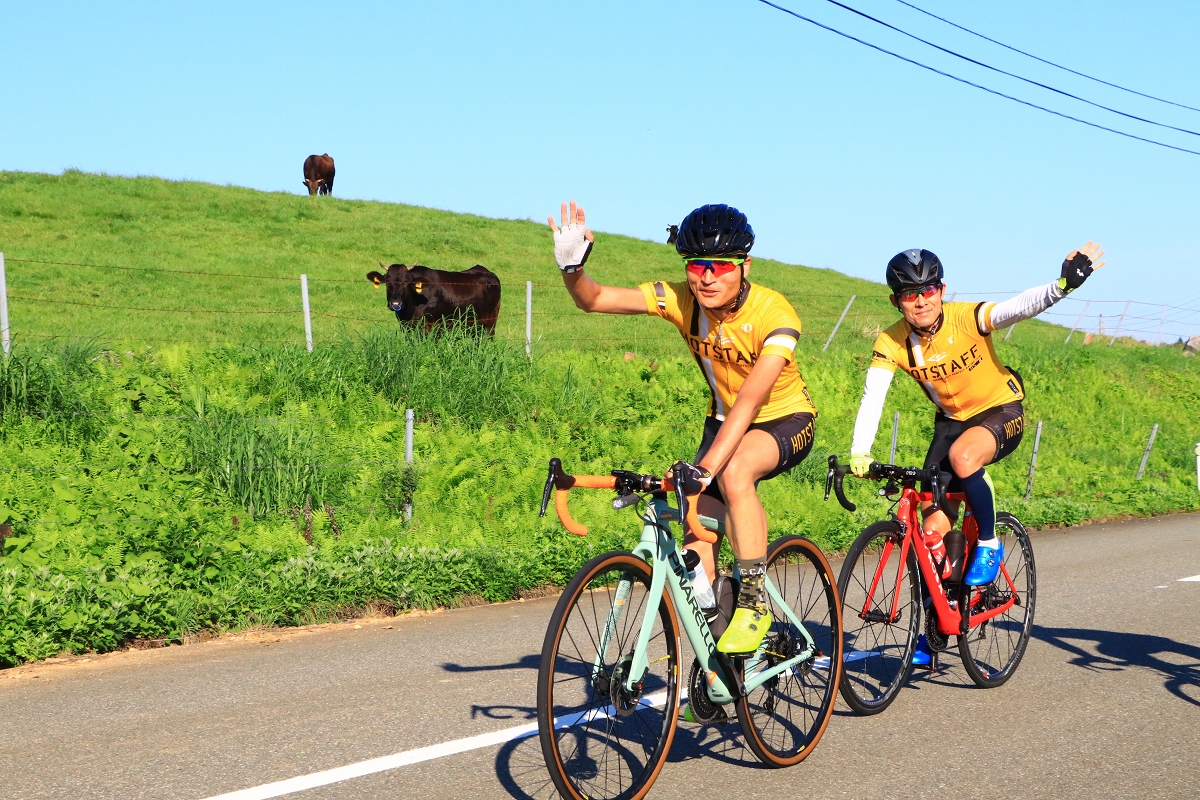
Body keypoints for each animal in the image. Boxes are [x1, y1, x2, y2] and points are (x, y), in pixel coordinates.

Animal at [362, 263, 499, 333]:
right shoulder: (406, 326)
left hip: (490, 323)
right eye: (387, 281)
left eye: (407, 282)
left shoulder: (430, 326)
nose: (395, 304)